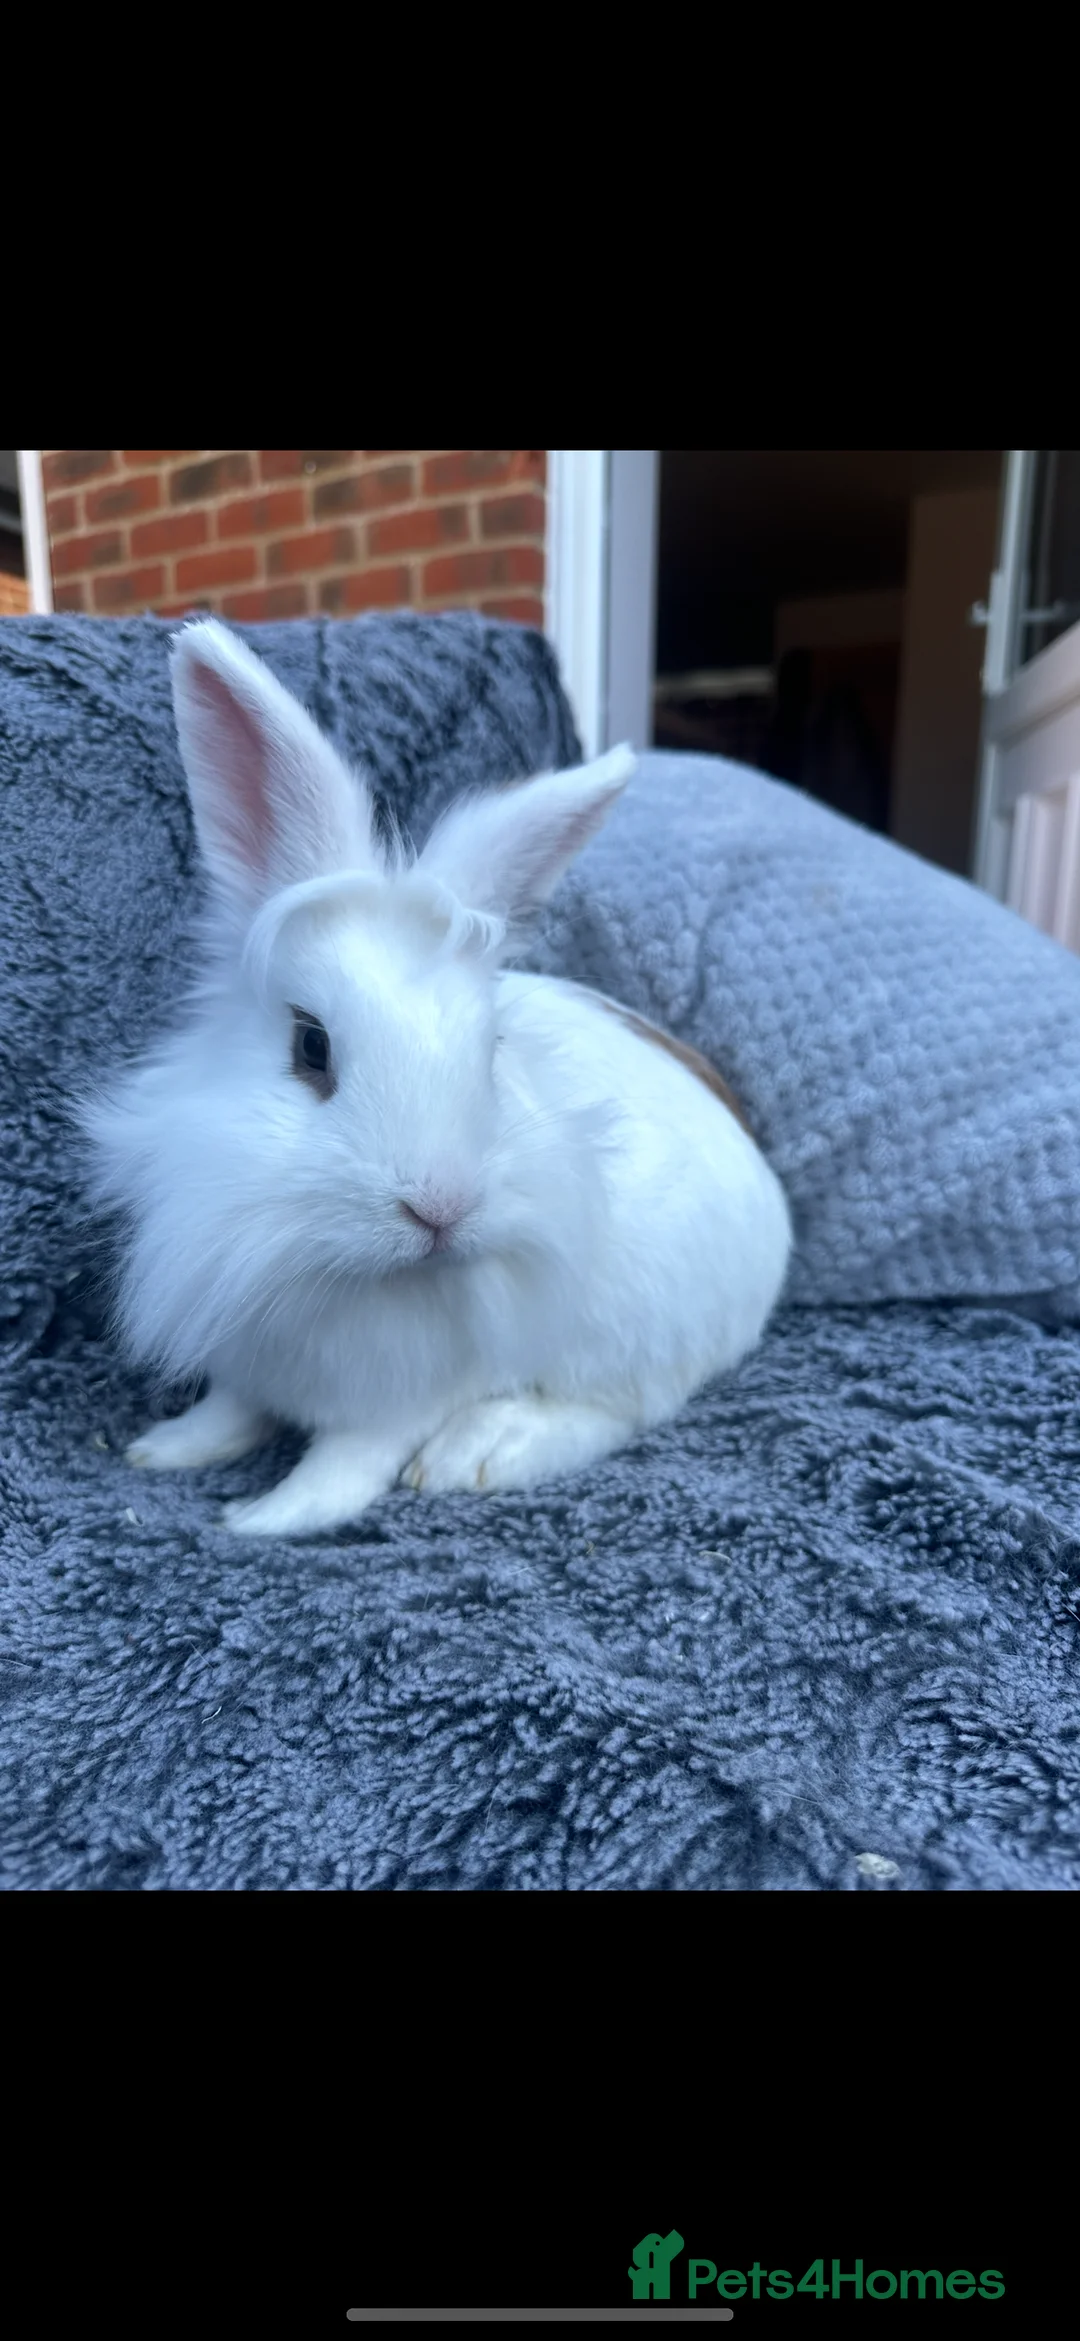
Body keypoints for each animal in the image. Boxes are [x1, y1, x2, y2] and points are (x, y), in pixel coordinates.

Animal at [82, 618, 792, 1539]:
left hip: (641, 1339)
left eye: (492, 1049)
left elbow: (342, 1470)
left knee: (616, 1411)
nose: (440, 1206)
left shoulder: (392, 1407)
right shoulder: (247, 1356)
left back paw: (479, 1452)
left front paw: (257, 1519)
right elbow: (229, 1411)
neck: (340, 1271)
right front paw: (163, 1449)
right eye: (310, 1046)